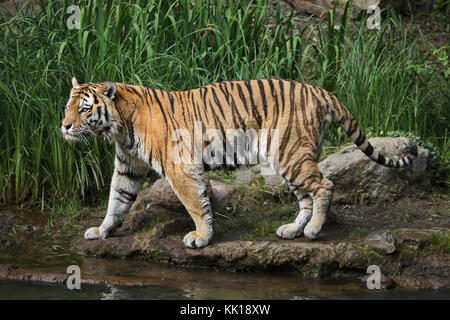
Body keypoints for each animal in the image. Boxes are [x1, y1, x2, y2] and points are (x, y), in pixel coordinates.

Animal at [60, 77, 418, 248]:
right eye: (68, 106)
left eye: (84, 108)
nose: (63, 126)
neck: (119, 126)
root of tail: (319, 90)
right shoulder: (128, 167)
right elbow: (116, 201)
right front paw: (102, 230)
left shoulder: (181, 167)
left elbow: (195, 203)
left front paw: (201, 237)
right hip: (290, 158)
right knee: (306, 196)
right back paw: (293, 230)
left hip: (289, 153)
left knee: (324, 186)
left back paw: (315, 230)